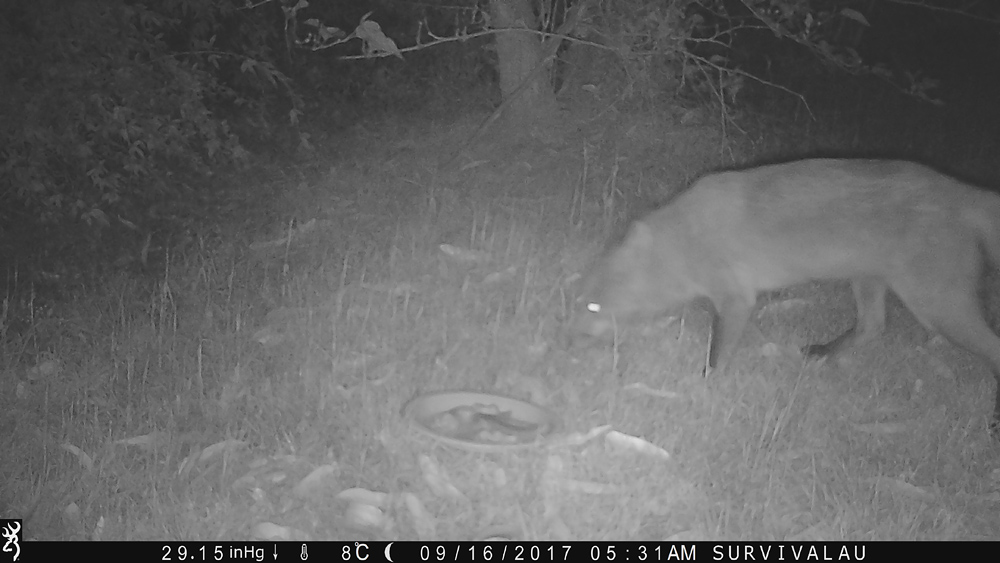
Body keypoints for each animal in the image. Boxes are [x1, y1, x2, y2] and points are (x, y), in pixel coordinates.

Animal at [571, 158, 1000, 435]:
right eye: (580, 302)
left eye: (593, 305)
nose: (570, 339)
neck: (685, 239)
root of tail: (960, 190)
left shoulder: (737, 298)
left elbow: (717, 357)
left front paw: (702, 387)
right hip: (871, 280)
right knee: (872, 326)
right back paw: (821, 353)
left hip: (938, 305)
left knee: (991, 348)